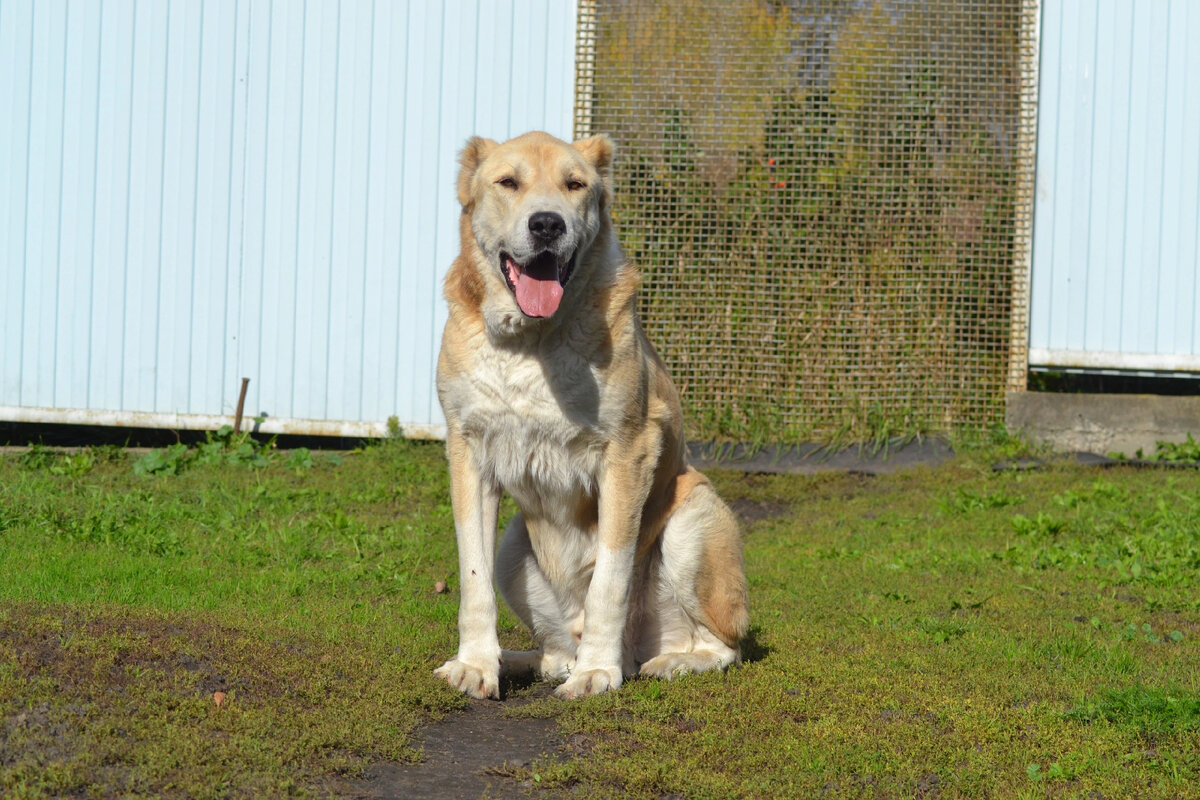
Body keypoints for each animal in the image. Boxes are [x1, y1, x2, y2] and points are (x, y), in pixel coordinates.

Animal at [436, 131, 744, 700]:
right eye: (508, 182)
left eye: (574, 185)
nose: (547, 224)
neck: (532, 344)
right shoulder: (468, 453)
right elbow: (472, 580)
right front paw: (476, 665)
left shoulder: (627, 454)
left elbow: (610, 580)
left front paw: (598, 671)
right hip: (513, 545)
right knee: (556, 650)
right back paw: (530, 661)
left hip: (694, 517)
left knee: (722, 644)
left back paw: (667, 662)